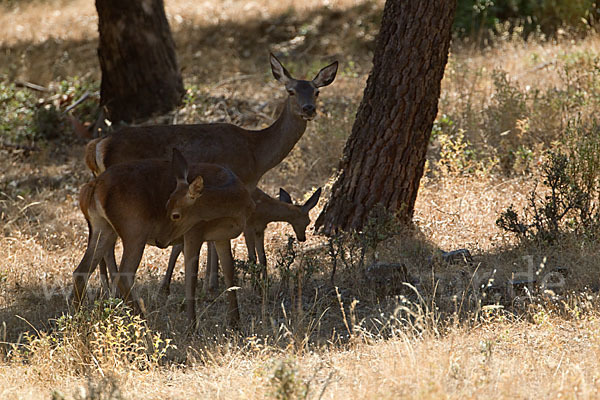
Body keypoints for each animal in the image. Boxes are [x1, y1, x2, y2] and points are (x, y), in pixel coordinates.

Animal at [74, 148, 254, 326]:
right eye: (166, 206)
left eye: (175, 214)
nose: (160, 240)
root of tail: (92, 188)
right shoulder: (193, 232)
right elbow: (191, 277)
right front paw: (191, 326)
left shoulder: (221, 237)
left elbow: (229, 272)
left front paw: (235, 323)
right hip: (134, 229)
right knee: (123, 276)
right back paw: (144, 325)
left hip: (103, 228)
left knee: (81, 271)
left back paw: (77, 321)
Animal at [157, 186, 322, 296]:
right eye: (308, 221)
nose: (302, 238)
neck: (265, 209)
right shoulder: (248, 227)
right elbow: (252, 257)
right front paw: (255, 287)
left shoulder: (260, 229)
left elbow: (263, 258)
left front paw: (265, 284)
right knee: (178, 246)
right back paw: (167, 288)